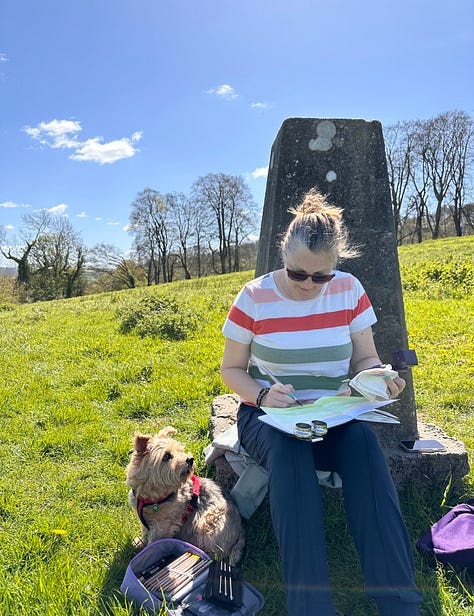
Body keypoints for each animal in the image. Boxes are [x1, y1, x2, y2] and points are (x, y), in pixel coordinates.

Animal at [126, 428, 244, 564]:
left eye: (180, 450)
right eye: (166, 456)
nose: (190, 459)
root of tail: (241, 531)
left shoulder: (163, 525)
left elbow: (154, 540)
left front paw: (148, 552)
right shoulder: (146, 520)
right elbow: (145, 532)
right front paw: (140, 543)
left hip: (206, 523)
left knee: (215, 553)